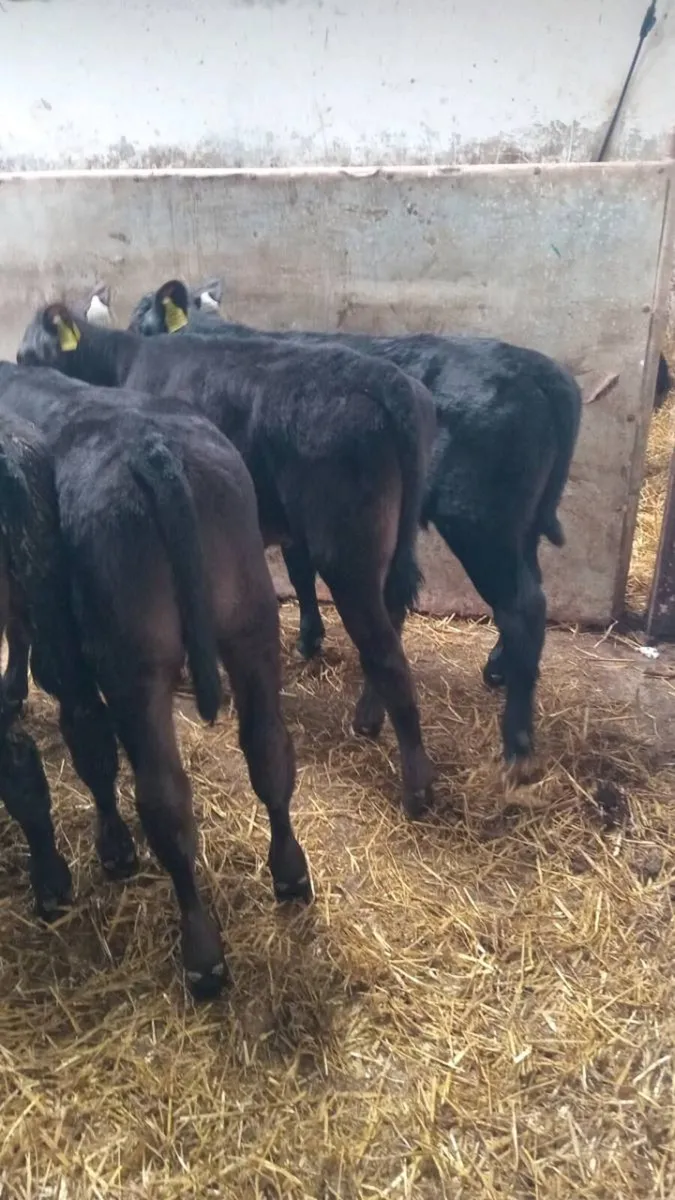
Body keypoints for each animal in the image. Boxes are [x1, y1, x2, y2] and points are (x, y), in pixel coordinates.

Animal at [0, 357, 310, 996]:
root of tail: (152, 447)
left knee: (164, 800)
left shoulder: (69, 652)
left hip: (136, 668)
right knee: (269, 751)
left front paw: (114, 852)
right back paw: (290, 874)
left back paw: (202, 955)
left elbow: (88, 738)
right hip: (251, 626)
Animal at [17, 299, 439, 819]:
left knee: (387, 655)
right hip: (393, 542)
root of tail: (389, 382)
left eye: (30, 354)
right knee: (393, 620)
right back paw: (368, 716)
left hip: (348, 553)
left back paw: (416, 789)